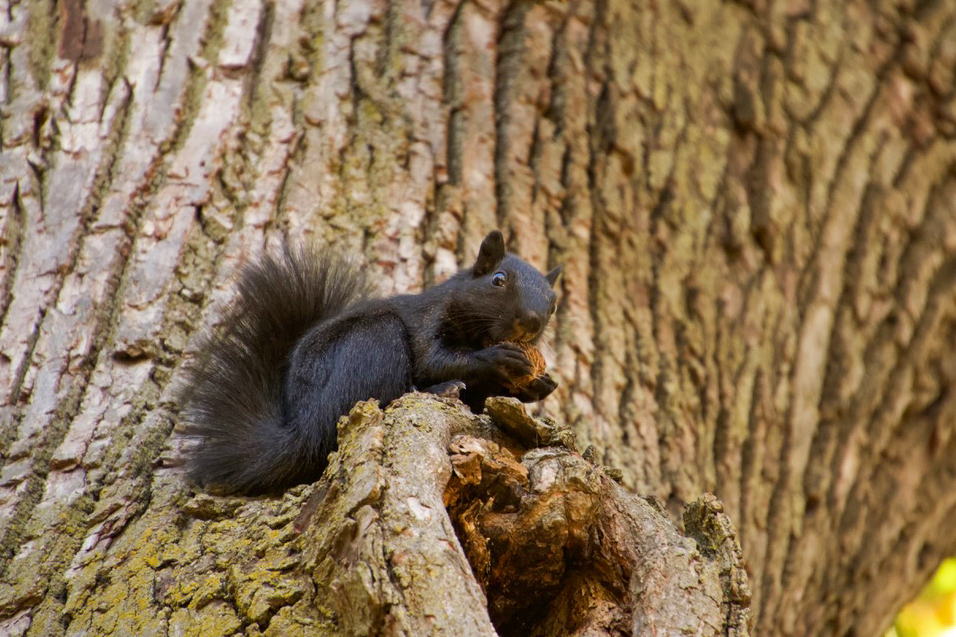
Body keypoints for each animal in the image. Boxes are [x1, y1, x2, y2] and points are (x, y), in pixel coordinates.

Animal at [179, 231, 560, 494]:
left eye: (554, 302)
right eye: (498, 280)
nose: (531, 322)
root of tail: (303, 428)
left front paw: (540, 385)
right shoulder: (427, 322)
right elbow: (436, 360)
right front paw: (499, 358)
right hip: (373, 341)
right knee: (384, 394)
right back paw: (441, 390)